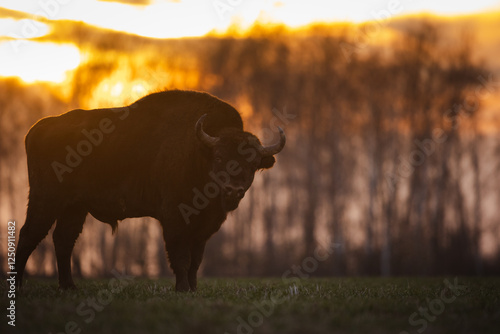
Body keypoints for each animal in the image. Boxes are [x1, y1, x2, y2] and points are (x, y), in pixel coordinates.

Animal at [15, 90, 286, 290]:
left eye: (252, 164)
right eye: (219, 157)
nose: (233, 190)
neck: (198, 152)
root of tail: (38, 128)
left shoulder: (204, 228)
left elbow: (195, 261)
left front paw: (193, 289)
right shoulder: (175, 219)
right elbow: (180, 257)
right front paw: (182, 289)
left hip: (74, 207)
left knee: (63, 240)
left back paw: (69, 286)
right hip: (45, 199)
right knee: (29, 234)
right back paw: (19, 286)